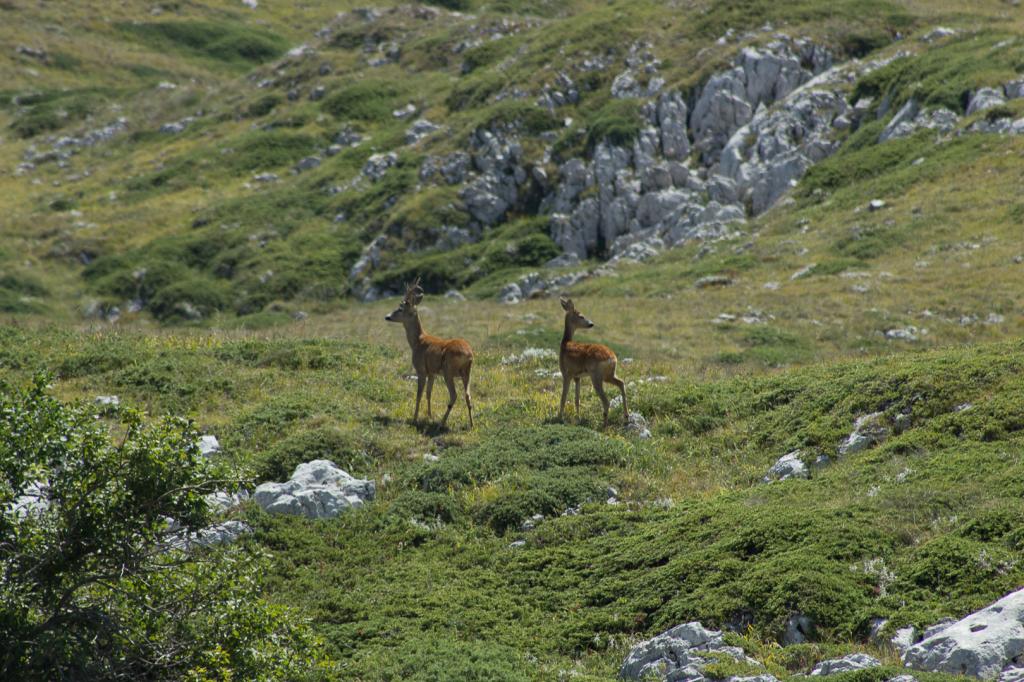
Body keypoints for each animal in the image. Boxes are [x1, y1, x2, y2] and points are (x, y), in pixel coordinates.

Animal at [387, 276, 475, 425]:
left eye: (400, 308)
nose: (387, 316)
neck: (417, 341)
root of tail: (468, 355)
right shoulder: (432, 373)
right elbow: (429, 393)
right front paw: (429, 415)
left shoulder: (421, 370)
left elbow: (419, 394)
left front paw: (415, 418)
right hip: (466, 372)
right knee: (468, 395)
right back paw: (471, 424)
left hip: (448, 371)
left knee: (454, 395)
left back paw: (442, 423)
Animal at [557, 296, 626, 425]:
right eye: (581, 316)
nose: (591, 324)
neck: (565, 344)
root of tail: (612, 358)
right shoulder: (577, 376)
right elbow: (577, 399)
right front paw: (578, 418)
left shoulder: (566, 372)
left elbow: (563, 396)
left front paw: (559, 417)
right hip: (608, 374)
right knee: (621, 383)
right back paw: (626, 416)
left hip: (596, 375)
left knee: (606, 401)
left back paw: (604, 424)